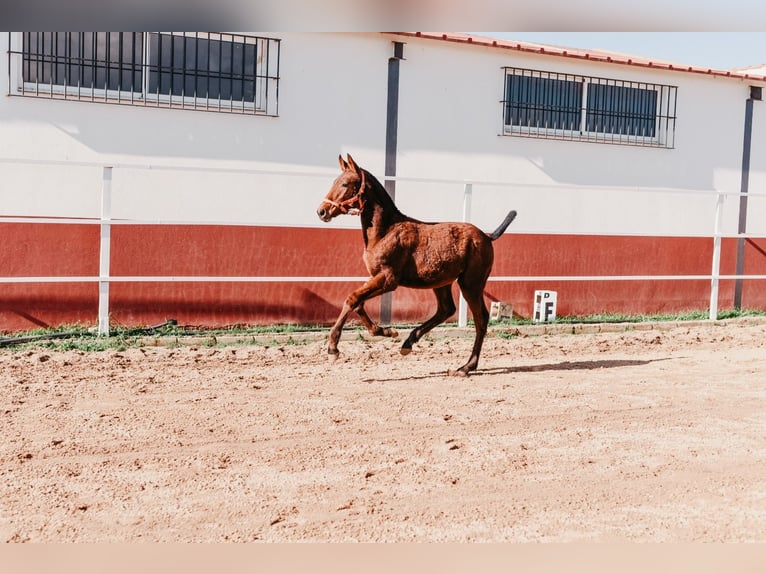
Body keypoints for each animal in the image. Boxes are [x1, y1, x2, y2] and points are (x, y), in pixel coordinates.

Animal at [318, 154, 516, 378]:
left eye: (344, 184)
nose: (321, 211)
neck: (385, 231)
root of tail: (487, 236)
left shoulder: (388, 279)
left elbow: (352, 298)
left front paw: (333, 348)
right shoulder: (375, 277)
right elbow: (358, 302)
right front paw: (385, 331)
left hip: (471, 284)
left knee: (480, 318)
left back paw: (466, 367)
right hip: (442, 282)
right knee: (446, 309)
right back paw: (408, 343)